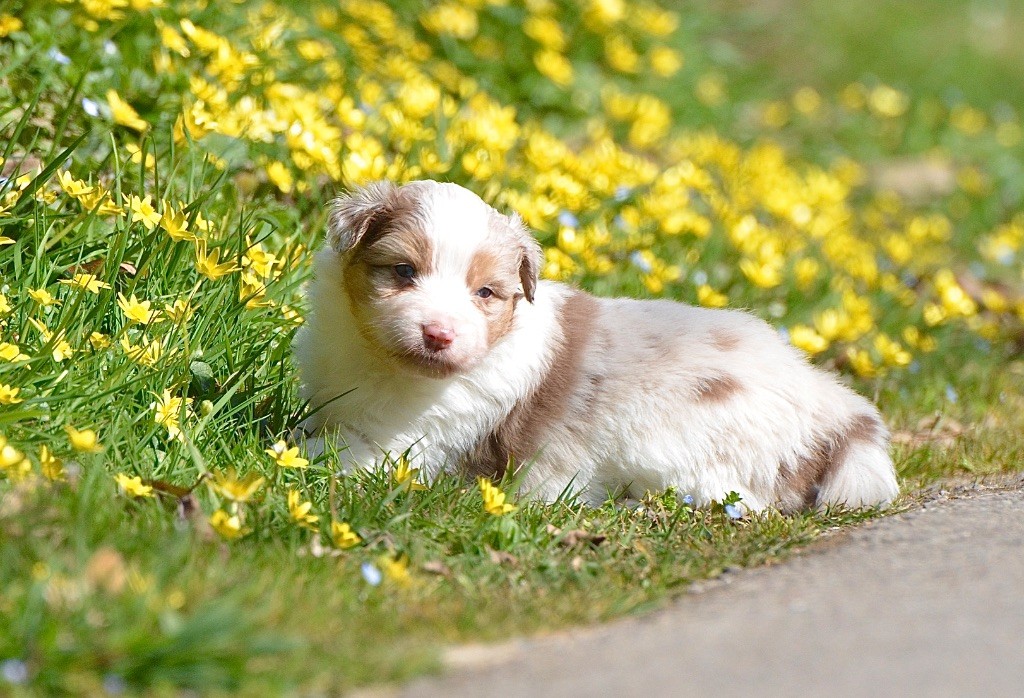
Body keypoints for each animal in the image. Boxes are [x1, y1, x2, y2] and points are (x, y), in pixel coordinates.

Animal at [294, 179, 897, 511]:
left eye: (485, 292)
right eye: (403, 271)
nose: (438, 334)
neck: (383, 365)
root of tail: (837, 408)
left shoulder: (417, 440)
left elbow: (343, 455)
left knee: (737, 501)